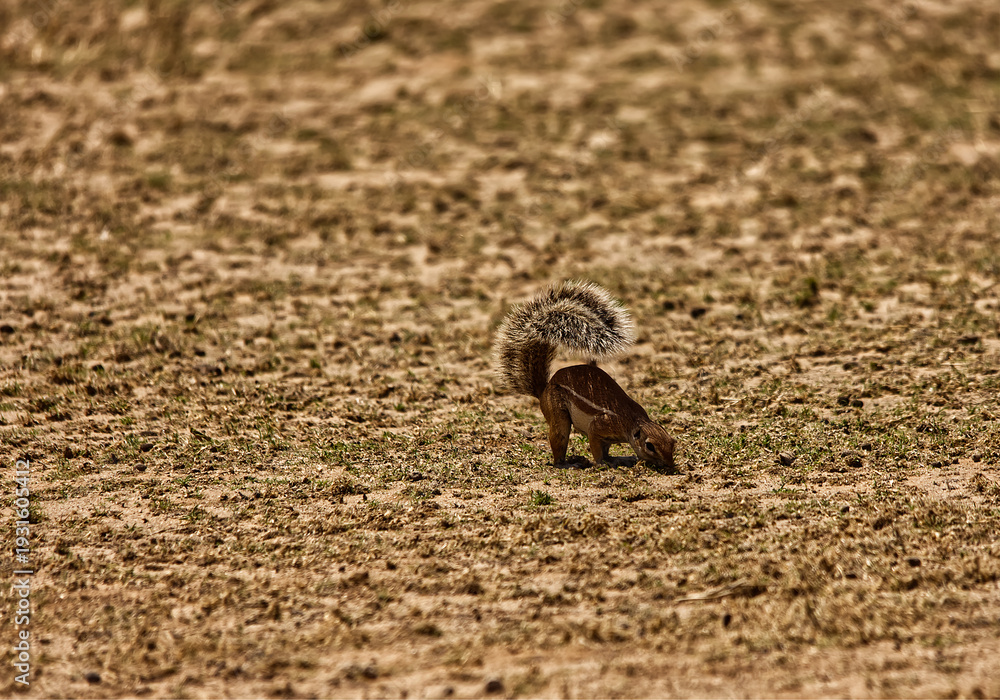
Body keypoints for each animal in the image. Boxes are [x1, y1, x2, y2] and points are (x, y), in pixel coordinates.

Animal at [494, 281, 676, 470]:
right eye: (650, 446)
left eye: (673, 442)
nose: (670, 465)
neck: (633, 421)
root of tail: (543, 389)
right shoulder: (598, 427)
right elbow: (596, 448)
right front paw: (601, 463)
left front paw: (617, 459)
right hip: (559, 417)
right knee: (558, 444)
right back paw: (567, 464)